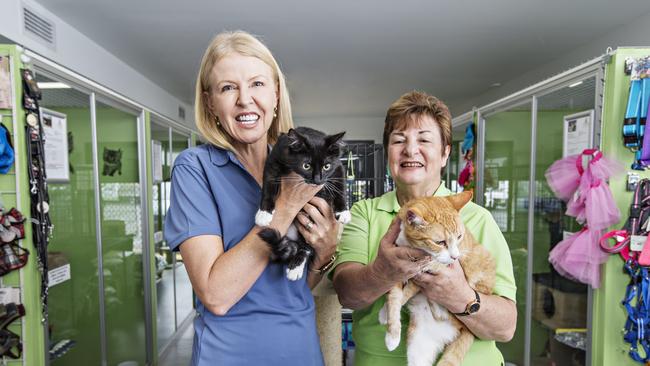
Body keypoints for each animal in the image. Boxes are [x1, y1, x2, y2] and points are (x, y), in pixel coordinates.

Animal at [253, 126, 350, 280]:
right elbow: (268, 184)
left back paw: (296, 267)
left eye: (326, 166)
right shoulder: (274, 159)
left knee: (307, 246)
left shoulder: (338, 166)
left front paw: (343, 212)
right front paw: (264, 213)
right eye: (306, 166)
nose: (317, 180)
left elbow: (340, 185)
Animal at [378, 192, 494, 366]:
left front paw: (385, 317)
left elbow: (404, 294)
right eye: (440, 242)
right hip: (418, 348)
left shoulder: (423, 278)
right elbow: (394, 297)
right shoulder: (394, 269)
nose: (455, 257)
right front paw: (390, 326)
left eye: (460, 236)